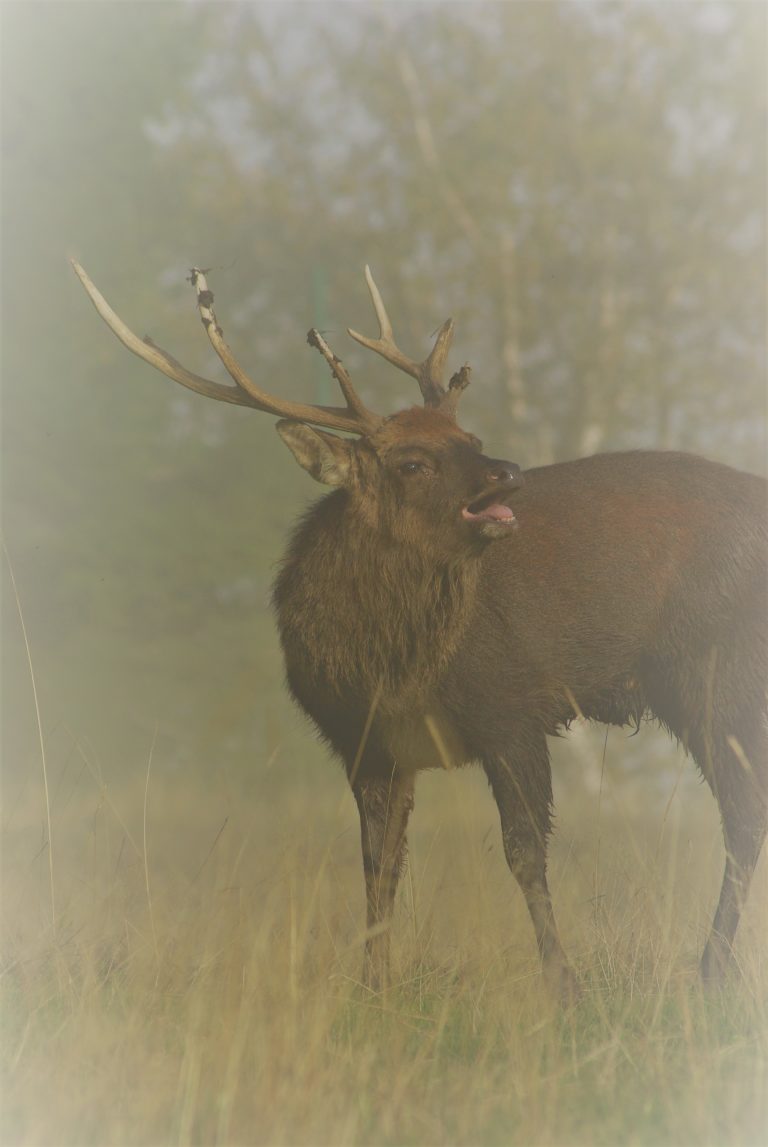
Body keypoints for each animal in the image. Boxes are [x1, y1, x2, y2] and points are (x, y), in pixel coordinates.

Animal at [71, 259, 767, 998]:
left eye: (472, 441)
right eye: (412, 462)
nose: (509, 473)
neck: (393, 667)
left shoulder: (511, 708)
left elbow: (524, 854)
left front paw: (564, 986)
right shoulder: (365, 740)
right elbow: (378, 864)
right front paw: (373, 987)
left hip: (717, 672)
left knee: (742, 813)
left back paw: (710, 970)